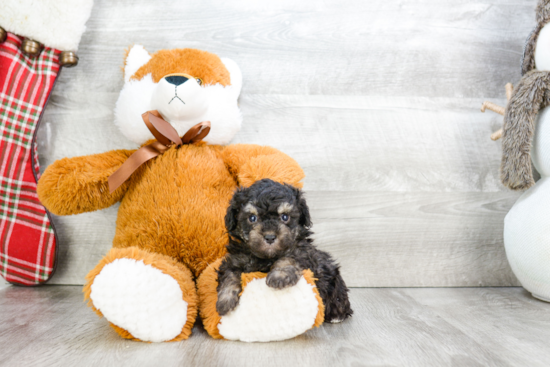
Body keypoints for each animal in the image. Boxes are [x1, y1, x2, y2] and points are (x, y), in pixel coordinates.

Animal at [216, 180, 354, 324]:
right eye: (252, 218)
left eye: (285, 217)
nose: (270, 237)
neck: (266, 258)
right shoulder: (234, 260)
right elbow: (229, 276)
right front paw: (225, 300)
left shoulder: (303, 253)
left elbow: (289, 258)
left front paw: (280, 275)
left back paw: (336, 315)